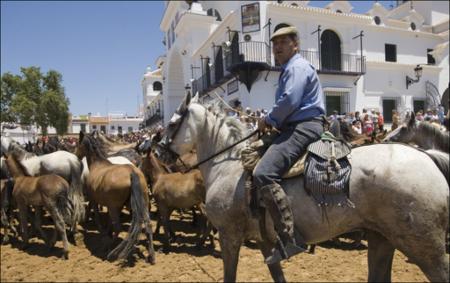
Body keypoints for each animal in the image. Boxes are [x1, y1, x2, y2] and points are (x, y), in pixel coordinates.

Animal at [75, 132, 155, 266]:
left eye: (78, 143)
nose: (76, 156)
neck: (97, 164)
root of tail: (132, 173)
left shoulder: (95, 200)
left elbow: (97, 215)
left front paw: (102, 231)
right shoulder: (112, 205)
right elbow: (108, 221)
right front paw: (107, 231)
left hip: (115, 206)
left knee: (118, 227)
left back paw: (111, 250)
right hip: (143, 203)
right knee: (147, 225)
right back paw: (152, 256)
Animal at [162, 92, 450, 282]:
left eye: (172, 123)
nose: (159, 150)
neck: (228, 165)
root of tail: (427, 156)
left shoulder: (229, 235)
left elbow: (230, 274)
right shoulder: (265, 241)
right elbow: (277, 275)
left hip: (424, 246)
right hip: (382, 238)